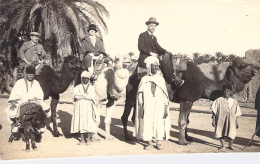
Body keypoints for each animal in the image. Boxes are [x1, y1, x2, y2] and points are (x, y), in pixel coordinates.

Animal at [122, 52, 260, 145]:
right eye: (242, 65)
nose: (256, 68)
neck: (204, 84)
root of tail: (131, 76)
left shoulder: (190, 101)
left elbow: (187, 121)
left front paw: (188, 137)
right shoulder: (186, 99)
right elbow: (182, 121)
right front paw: (183, 142)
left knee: (135, 116)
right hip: (131, 95)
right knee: (125, 115)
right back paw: (128, 137)